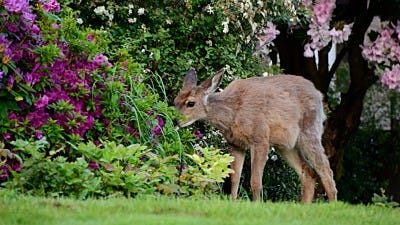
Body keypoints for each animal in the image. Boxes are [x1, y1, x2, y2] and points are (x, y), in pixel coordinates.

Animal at [174, 67, 338, 203]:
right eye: (175, 101)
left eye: (191, 103)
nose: (175, 121)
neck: (232, 113)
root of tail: (319, 94)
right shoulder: (235, 143)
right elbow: (234, 178)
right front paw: (233, 202)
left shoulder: (260, 138)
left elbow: (255, 181)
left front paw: (257, 205)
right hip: (286, 146)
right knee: (309, 173)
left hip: (310, 131)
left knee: (326, 171)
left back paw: (332, 205)